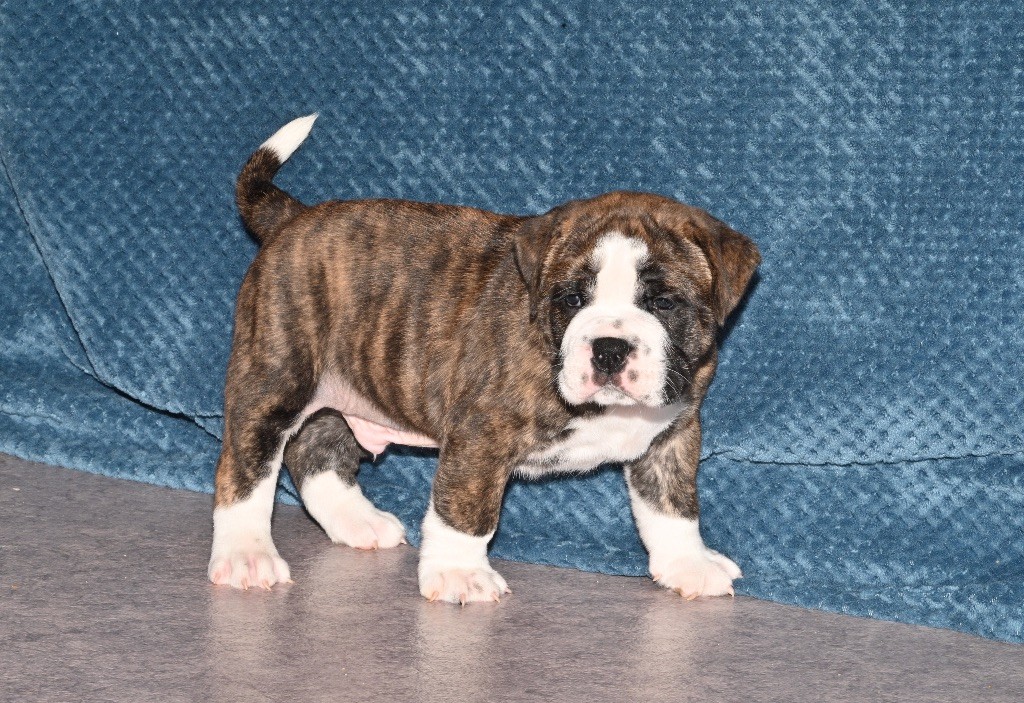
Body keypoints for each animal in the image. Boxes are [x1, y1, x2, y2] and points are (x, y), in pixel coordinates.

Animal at [208, 114, 760, 604]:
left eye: (663, 303)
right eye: (571, 299)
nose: (608, 347)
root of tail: (293, 218)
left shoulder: (673, 433)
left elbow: (673, 507)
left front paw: (688, 563)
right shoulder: (481, 432)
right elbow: (466, 508)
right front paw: (459, 573)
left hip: (342, 388)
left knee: (316, 452)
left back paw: (356, 521)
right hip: (276, 378)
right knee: (247, 467)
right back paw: (245, 555)